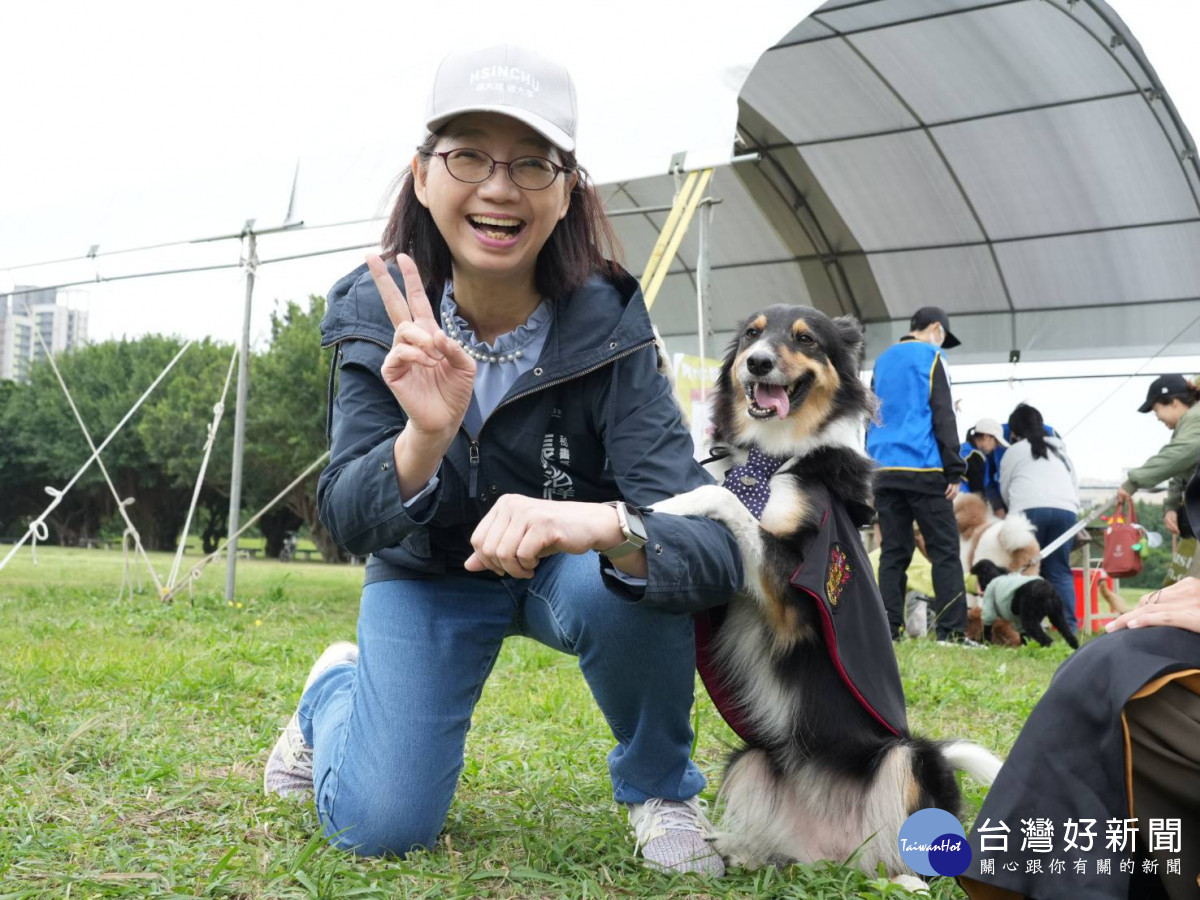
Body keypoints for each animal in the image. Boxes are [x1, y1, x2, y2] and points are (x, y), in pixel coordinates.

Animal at [652, 307, 998, 883]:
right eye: (752, 334)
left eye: (806, 339)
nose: (757, 362)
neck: (775, 454)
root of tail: (837, 854)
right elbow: (721, 491)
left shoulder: (796, 597)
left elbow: (723, 497)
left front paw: (670, 503)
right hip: (754, 756)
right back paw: (747, 850)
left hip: (907, 757)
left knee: (911, 847)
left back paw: (907, 881)